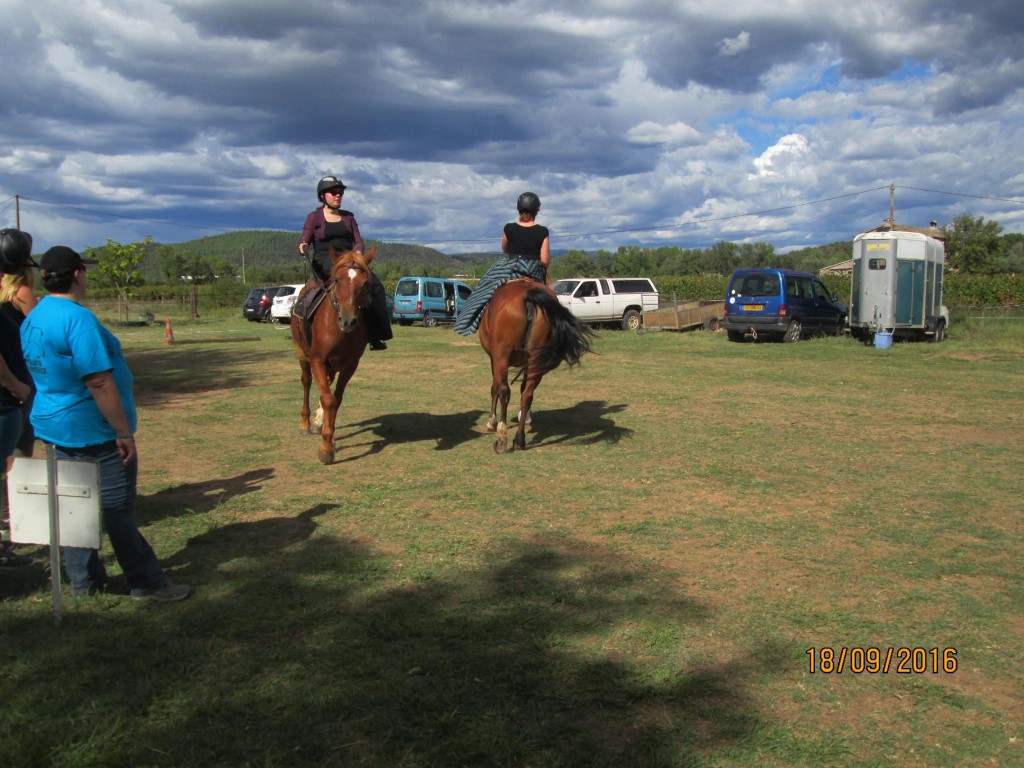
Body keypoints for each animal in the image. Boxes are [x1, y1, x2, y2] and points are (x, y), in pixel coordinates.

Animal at [290, 243, 378, 466]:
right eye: (337, 280)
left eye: (365, 283)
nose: (347, 321)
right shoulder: (317, 360)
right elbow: (328, 399)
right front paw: (326, 448)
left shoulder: (350, 365)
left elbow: (335, 399)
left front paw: (326, 433)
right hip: (302, 355)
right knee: (306, 382)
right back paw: (305, 423)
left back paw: (318, 421)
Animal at [477, 280, 593, 454]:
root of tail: (527, 295)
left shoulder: (494, 359)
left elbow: (494, 388)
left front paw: (492, 421)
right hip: (536, 361)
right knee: (527, 394)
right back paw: (519, 440)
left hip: (502, 356)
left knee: (504, 390)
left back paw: (502, 435)